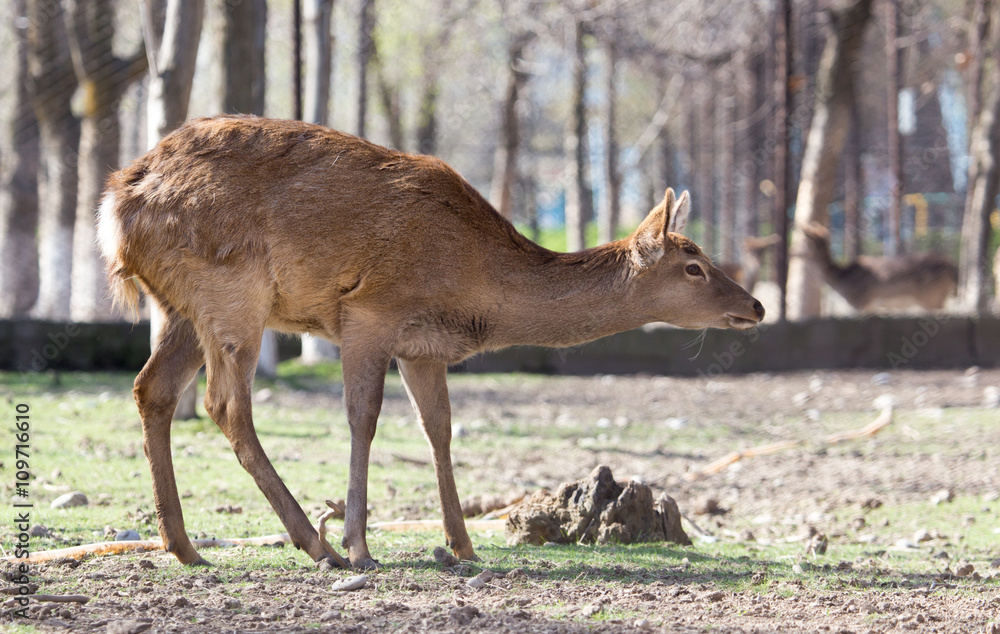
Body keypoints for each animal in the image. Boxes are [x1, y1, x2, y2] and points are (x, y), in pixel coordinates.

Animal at [97, 115, 765, 570]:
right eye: (693, 266)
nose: (756, 305)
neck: (475, 291)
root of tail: (115, 205)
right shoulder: (367, 313)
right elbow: (364, 419)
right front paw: (359, 543)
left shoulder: (423, 348)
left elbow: (438, 430)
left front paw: (463, 544)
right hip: (233, 292)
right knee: (225, 404)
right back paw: (316, 545)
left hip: (184, 307)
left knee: (151, 389)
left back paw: (184, 546)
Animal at [801, 223, 958, 311]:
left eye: (802, 240)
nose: (795, 252)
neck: (842, 280)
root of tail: (952, 265)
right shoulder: (869, 307)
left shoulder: (861, 304)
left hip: (932, 298)